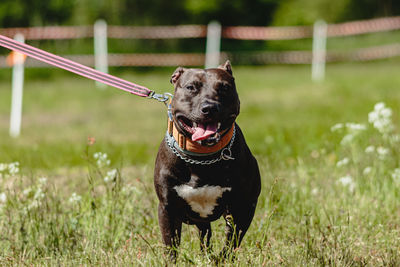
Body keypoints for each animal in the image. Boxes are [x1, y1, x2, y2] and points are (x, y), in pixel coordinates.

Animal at [152, 61, 260, 262]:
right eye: (190, 87)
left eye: (224, 87)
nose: (209, 108)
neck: (201, 155)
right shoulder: (167, 209)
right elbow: (171, 246)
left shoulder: (243, 206)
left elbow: (232, 241)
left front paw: (223, 260)